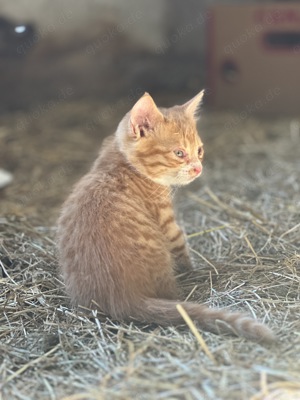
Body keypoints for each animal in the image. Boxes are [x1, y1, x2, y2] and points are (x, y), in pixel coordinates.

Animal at [56, 91, 274, 344]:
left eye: (199, 151)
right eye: (179, 153)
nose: (198, 169)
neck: (121, 162)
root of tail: (121, 298)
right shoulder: (166, 220)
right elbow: (182, 248)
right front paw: (195, 272)